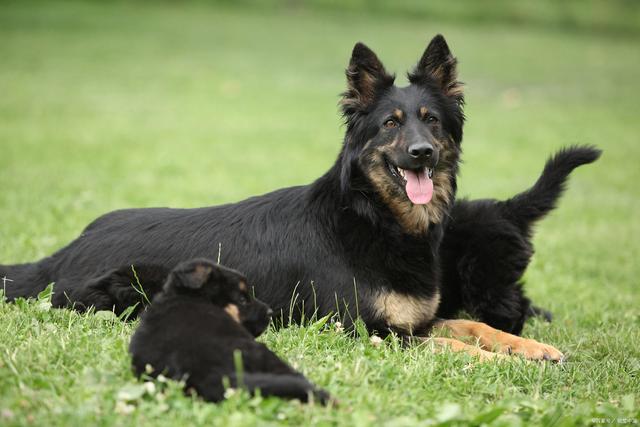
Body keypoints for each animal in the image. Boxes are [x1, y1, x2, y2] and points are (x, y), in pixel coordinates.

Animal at [0, 34, 592, 362]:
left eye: (432, 122)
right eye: (391, 124)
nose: (422, 153)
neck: (373, 217)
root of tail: (64, 251)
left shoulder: (414, 322)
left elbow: (473, 325)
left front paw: (530, 349)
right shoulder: (368, 332)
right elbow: (453, 345)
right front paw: (504, 364)